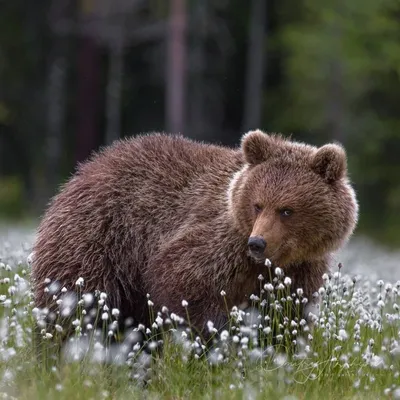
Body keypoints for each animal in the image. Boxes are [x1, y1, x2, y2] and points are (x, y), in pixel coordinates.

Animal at [30, 130, 356, 334]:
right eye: (257, 204)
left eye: (287, 210)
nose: (257, 243)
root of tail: (82, 171)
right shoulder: (216, 243)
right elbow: (183, 281)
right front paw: (217, 334)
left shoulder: (300, 269)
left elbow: (288, 316)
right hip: (98, 240)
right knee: (75, 304)